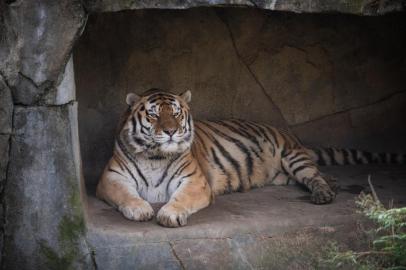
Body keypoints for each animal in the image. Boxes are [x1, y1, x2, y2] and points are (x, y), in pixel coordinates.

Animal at [96, 89, 406, 228]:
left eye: (175, 113)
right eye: (152, 114)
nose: (171, 132)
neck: (156, 155)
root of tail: (287, 133)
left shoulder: (195, 181)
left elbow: (180, 199)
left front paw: (169, 214)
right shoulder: (111, 178)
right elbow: (126, 195)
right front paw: (140, 209)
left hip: (293, 157)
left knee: (315, 176)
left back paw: (324, 194)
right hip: (284, 175)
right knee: (317, 176)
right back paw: (335, 186)